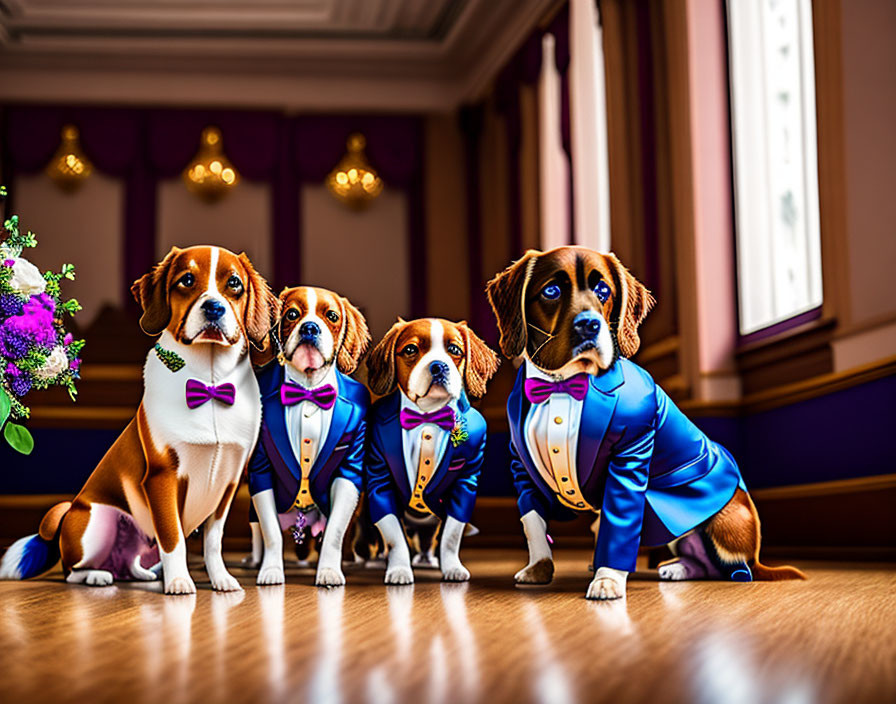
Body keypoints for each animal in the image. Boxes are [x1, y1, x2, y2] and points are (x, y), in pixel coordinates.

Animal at [0, 245, 274, 592]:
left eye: (235, 283)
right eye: (187, 280)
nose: (213, 308)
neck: (209, 383)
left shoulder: (228, 481)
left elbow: (213, 541)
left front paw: (221, 579)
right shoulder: (162, 477)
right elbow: (172, 536)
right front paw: (179, 582)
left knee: (128, 563)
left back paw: (144, 576)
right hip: (97, 521)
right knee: (73, 569)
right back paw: (97, 576)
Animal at [486, 246, 808, 600]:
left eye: (603, 291)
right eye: (551, 291)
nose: (589, 325)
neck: (563, 384)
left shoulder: (630, 458)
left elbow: (619, 523)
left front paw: (607, 579)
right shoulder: (522, 469)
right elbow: (533, 523)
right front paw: (539, 568)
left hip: (726, 521)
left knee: (736, 570)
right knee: (701, 561)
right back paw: (677, 568)